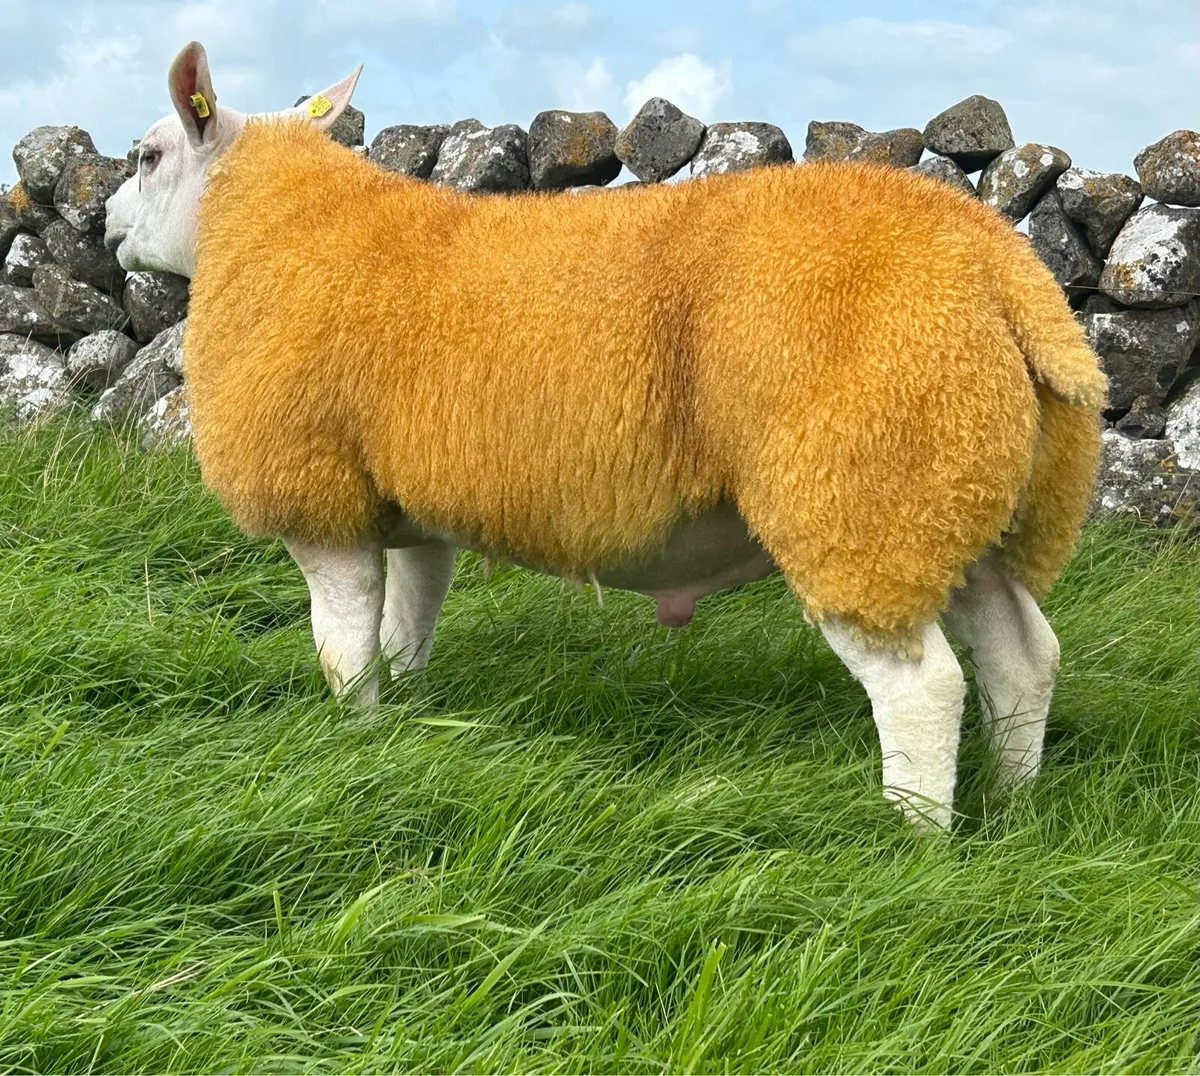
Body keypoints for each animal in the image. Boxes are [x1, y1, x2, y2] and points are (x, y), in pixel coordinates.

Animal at [105, 42, 1105, 829]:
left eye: (147, 155)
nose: (106, 226)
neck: (274, 233)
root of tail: (1005, 271)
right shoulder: (416, 513)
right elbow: (406, 634)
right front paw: (407, 730)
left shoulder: (321, 505)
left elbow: (345, 654)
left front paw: (356, 738)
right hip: (962, 497)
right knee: (1023, 660)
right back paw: (1013, 806)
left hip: (860, 498)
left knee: (922, 688)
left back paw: (911, 842)